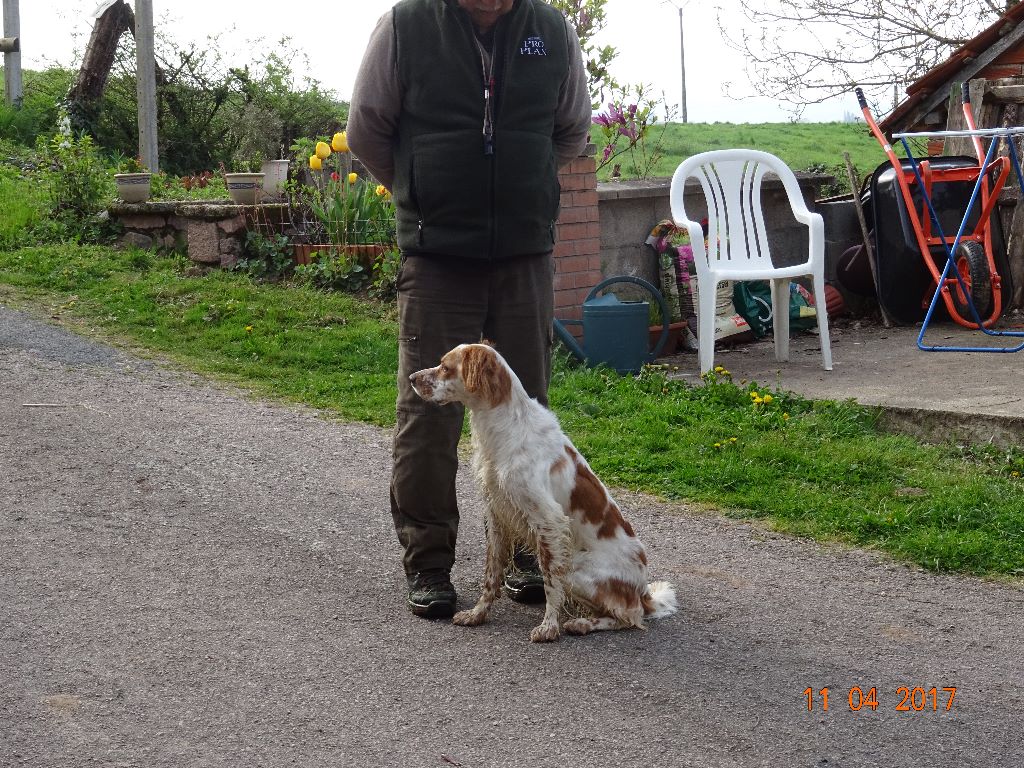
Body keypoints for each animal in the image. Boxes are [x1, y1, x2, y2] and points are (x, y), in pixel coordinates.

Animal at [411, 342, 675, 643]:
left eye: (445, 367)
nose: (411, 378)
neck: (506, 425)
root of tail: (643, 592)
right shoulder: (497, 514)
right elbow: (491, 574)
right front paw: (477, 614)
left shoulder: (549, 522)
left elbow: (550, 581)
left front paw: (549, 627)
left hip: (577, 570)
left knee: (629, 616)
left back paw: (582, 623)